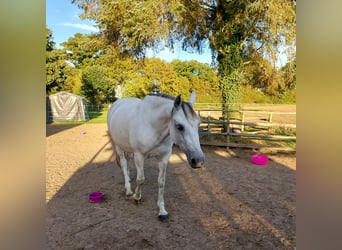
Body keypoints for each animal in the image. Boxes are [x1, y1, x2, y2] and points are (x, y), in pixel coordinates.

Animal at [107, 93, 204, 222]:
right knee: (123, 163)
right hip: (119, 146)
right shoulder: (139, 155)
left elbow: (161, 182)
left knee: (127, 164)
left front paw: (162, 211)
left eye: (198, 124)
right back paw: (128, 189)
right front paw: (137, 197)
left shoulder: (164, 157)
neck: (152, 126)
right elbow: (141, 179)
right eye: (179, 126)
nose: (198, 161)